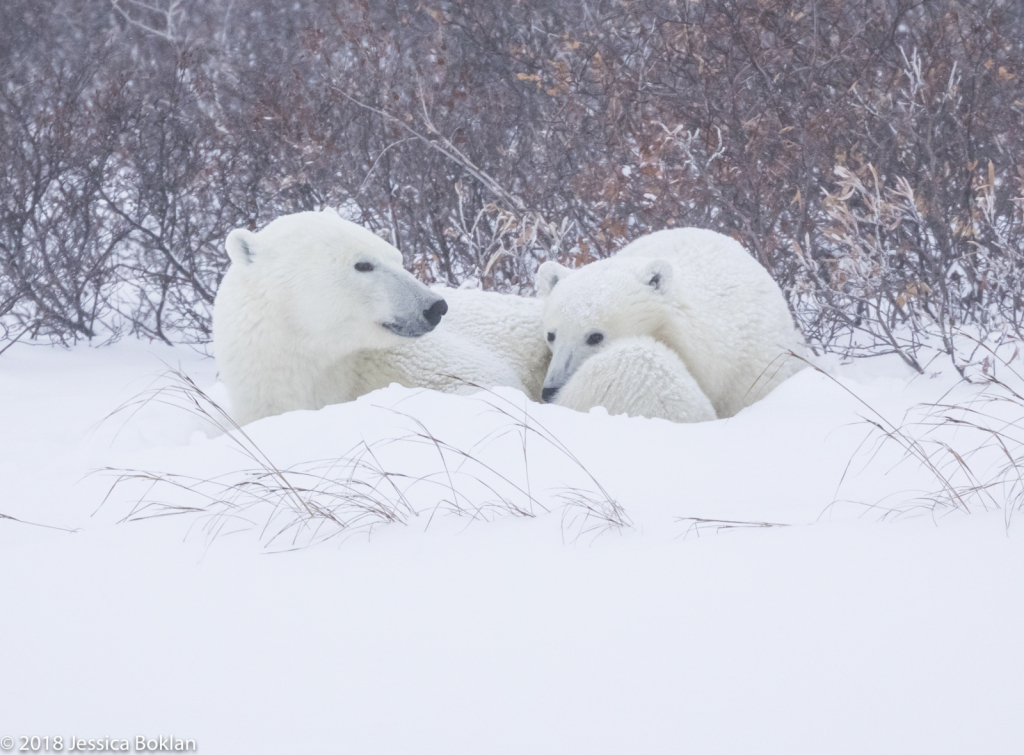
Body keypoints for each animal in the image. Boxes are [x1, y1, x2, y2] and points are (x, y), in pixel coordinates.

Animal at [211, 211, 552, 424]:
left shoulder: (403, 357)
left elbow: (485, 383)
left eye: (396, 256)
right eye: (363, 264)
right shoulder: (266, 392)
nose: (435, 307)